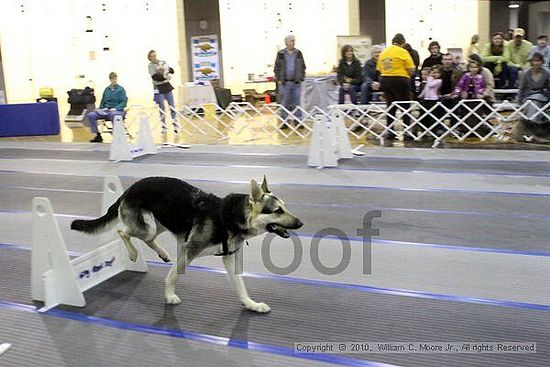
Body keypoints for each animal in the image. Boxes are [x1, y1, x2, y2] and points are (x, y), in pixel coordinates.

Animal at [71, 178, 304, 314]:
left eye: (285, 208)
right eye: (277, 211)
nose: (301, 223)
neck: (230, 218)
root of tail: (128, 189)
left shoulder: (230, 258)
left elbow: (240, 287)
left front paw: (250, 304)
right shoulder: (189, 250)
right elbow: (173, 276)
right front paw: (169, 296)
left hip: (160, 224)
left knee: (145, 237)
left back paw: (163, 253)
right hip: (148, 226)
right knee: (123, 232)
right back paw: (133, 253)